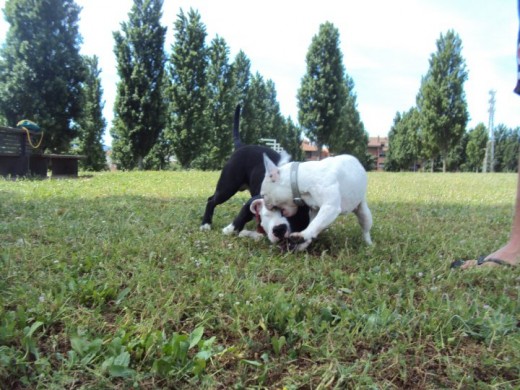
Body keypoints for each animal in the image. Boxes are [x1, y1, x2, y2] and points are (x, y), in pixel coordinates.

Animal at [200, 103, 308, 239]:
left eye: (296, 217)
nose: (279, 229)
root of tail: (242, 146)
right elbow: (243, 214)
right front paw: (230, 230)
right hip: (227, 187)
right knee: (211, 200)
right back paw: (206, 224)